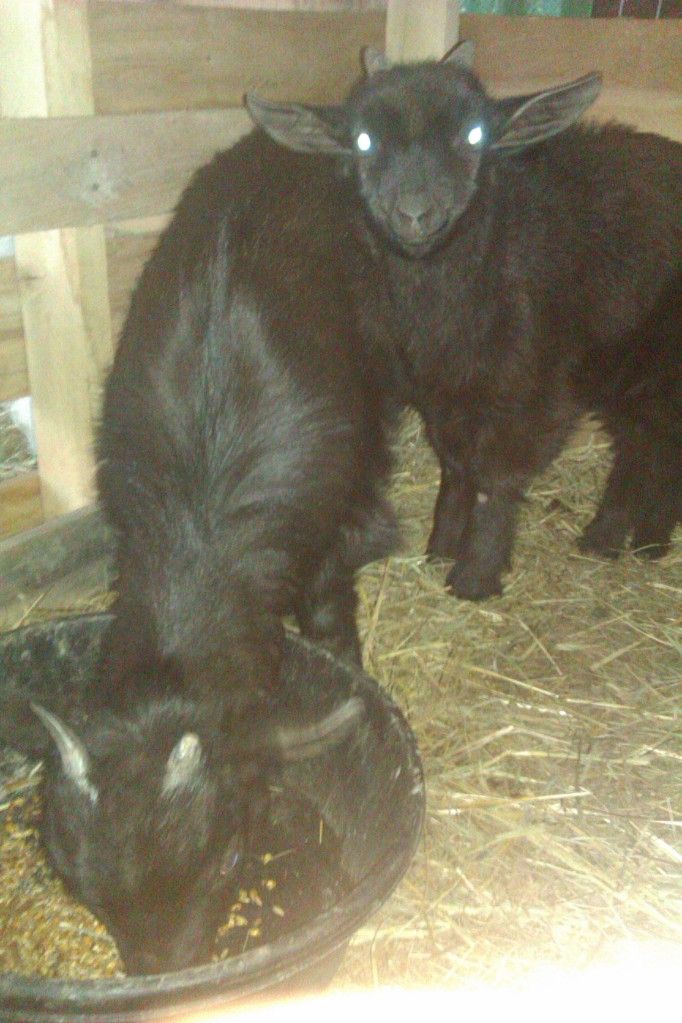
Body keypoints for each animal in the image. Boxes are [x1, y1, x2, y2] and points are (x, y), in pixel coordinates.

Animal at [248, 44, 681, 599]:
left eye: (475, 135)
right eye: (364, 141)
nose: (414, 214)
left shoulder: (530, 391)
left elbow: (495, 479)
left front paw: (476, 575)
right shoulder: (440, 386)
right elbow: (456, 466)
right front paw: (441, 548)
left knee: (655, 442)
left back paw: (631, 539)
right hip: (625, 361)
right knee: (647, 441)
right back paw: (625, 540)